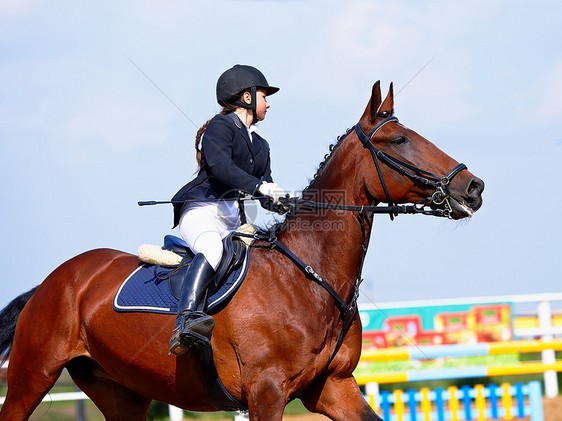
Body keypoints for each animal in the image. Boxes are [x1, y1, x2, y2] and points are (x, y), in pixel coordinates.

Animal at [0, 82, 482, 420]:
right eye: (398, 142)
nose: (473, 187)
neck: (309, 277)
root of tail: (52, 281)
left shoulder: (333, 386)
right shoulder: (265, 392)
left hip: (121, 391)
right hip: (32, 374)